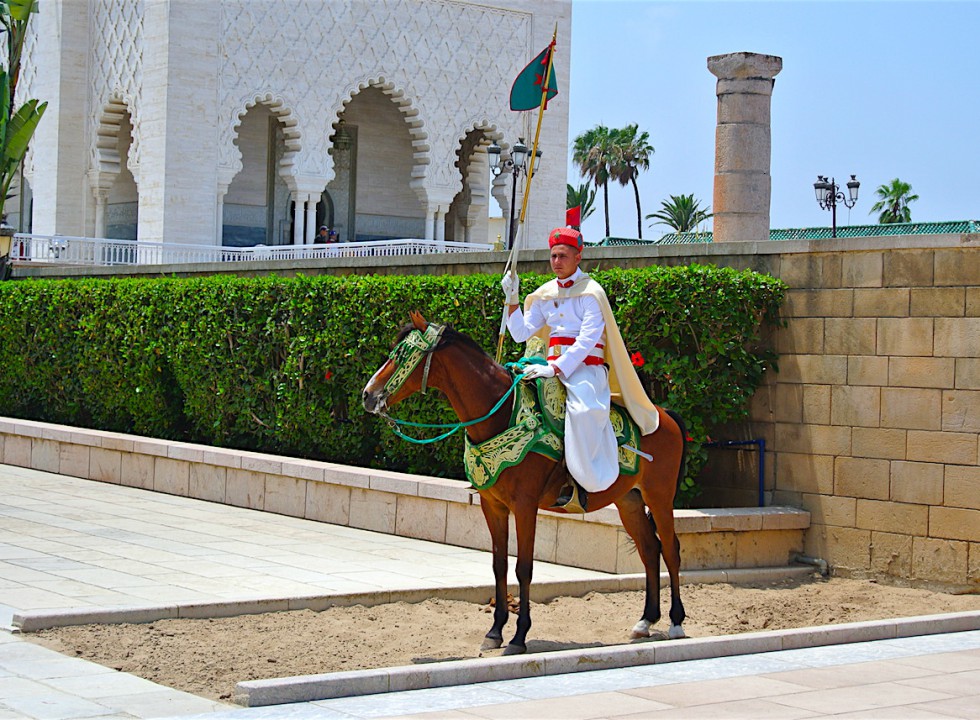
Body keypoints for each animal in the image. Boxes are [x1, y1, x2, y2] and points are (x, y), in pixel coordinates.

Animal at [362, 312, 688, 655]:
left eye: (400, 355)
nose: (368, 395)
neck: (500, 414)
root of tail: (664, 415)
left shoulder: (525, 505)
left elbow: (524, 568)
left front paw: (519, 636)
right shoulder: (493, 506)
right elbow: (499, 566)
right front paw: (495, 631)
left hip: (660, 496)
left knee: (671, 549)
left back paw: (676, 622)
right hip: (630, 501)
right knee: (650, 549)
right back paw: (646, 621)